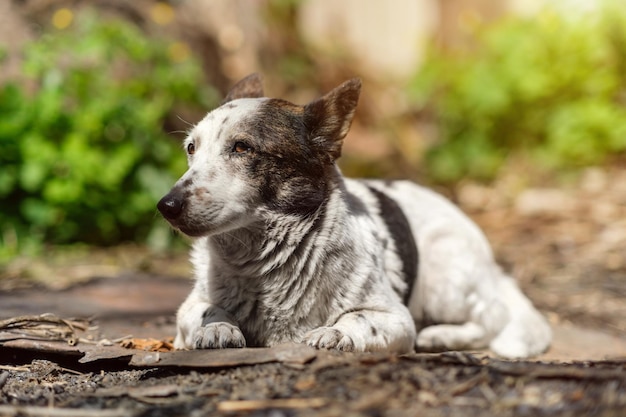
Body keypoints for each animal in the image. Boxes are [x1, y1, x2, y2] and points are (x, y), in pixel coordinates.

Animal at [157, 73, 552, 356]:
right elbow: (206, 311)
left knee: (490, 319)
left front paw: (335, 332)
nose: (166, 206)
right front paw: (216, 326)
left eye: (242, 147)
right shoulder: (188, 309)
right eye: (191, 148)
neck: (265, 264)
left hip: (446, 274)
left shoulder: (395, 319)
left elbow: (359, 319)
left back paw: (439, 335)